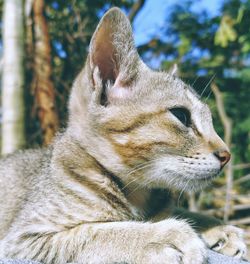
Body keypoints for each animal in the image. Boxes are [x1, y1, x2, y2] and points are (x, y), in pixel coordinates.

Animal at [0, 7, 246, 262]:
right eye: (181, 115)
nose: (226, 155)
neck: (138, 194)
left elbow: (178, 211)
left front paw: (216, 227)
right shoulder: (24, 238)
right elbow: (99, 231)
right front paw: (163, 235)